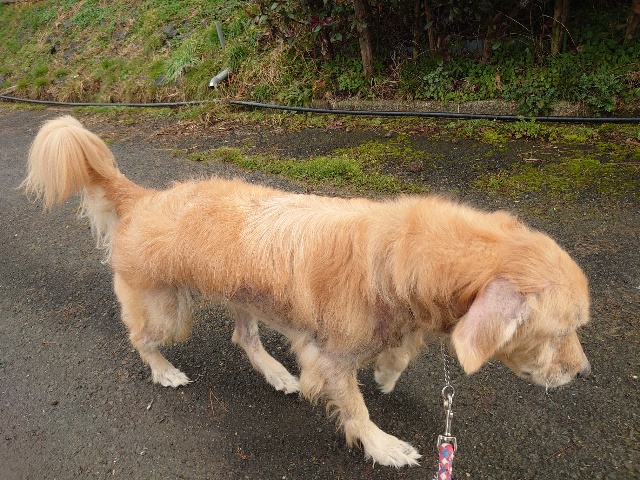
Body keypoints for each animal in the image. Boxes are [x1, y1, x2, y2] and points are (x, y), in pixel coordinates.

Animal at [23, 116, 591, 467]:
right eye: (559, 331)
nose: (584, 374)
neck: (400, 254)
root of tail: (144, 198)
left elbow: (400, 350)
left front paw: (387, 371)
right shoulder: (332, 358)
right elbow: (356, 410)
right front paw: (383, 447)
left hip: (245, 296)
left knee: (244, 338)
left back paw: (277, 374)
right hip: (170, 312)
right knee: (141, 338)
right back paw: (164, 371)